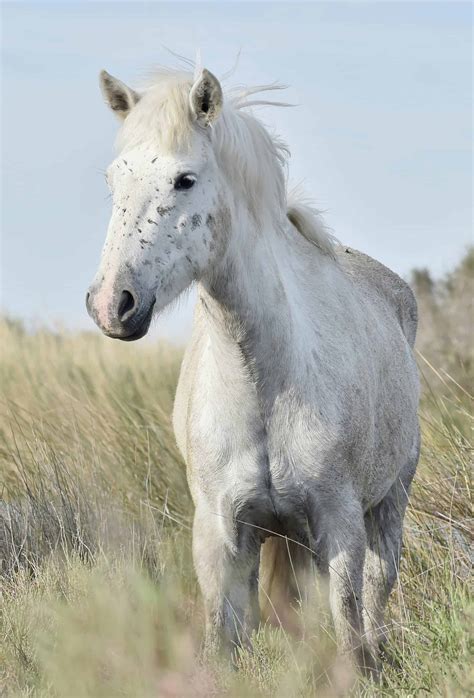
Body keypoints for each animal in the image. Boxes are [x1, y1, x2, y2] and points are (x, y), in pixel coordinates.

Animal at [87, 66, 420, 676]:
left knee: (377, 589)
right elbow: (225, 638)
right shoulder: (221, 535)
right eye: (113, 180)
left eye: (185, 180)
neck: (265, 381)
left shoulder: (340, 525)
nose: (111, 305)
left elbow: (348, 624)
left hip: (388, 503)